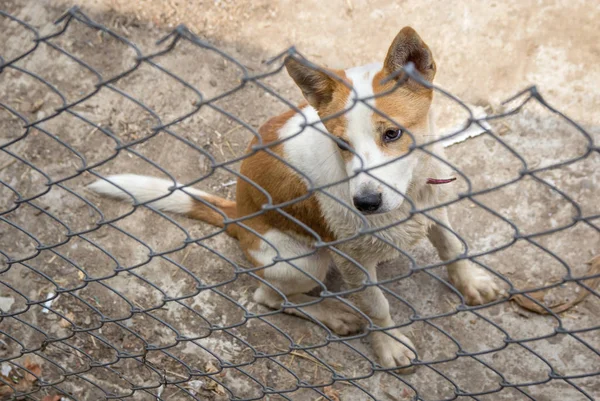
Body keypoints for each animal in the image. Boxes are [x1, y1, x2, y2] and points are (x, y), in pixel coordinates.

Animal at [89, 27, 502, 372]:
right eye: (341, 144)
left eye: (392, 133)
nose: (365, 204)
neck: (412, 191)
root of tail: (238, 218)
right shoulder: (351, 260)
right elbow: (376, 305)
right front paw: (387, 345)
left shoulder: (437, 207)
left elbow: (453, 248)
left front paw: (471, 284)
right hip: (303, 261)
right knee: (271, 297)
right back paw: (333, 313)